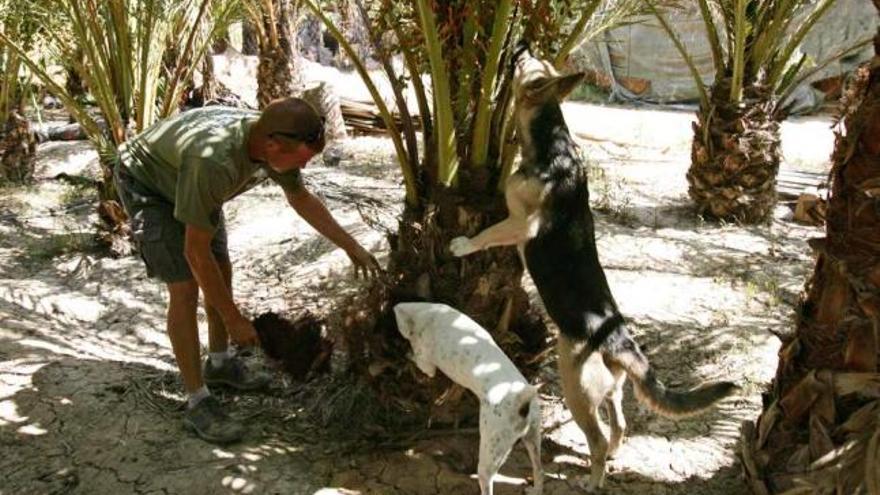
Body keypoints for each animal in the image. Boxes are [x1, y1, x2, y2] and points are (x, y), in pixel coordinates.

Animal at [394, 302, 544, 495]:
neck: (427, 313)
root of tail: (521, 399)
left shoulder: (426, 364)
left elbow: (418, 362)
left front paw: (406, 356)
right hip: (533, 437)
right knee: (540, 470)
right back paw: (535, 489)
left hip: (491, 451)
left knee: (487, 481)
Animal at [444, 43, 740, 492]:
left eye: (530, 68)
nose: (521, 45)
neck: (553, 143)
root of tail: (617, 338)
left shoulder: (520, 223)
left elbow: (486, 234)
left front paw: (462, 245)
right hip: (611, 390)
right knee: (620, 426)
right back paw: (612, 458)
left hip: (576, 390)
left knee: (598, 436)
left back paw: (594, 478)